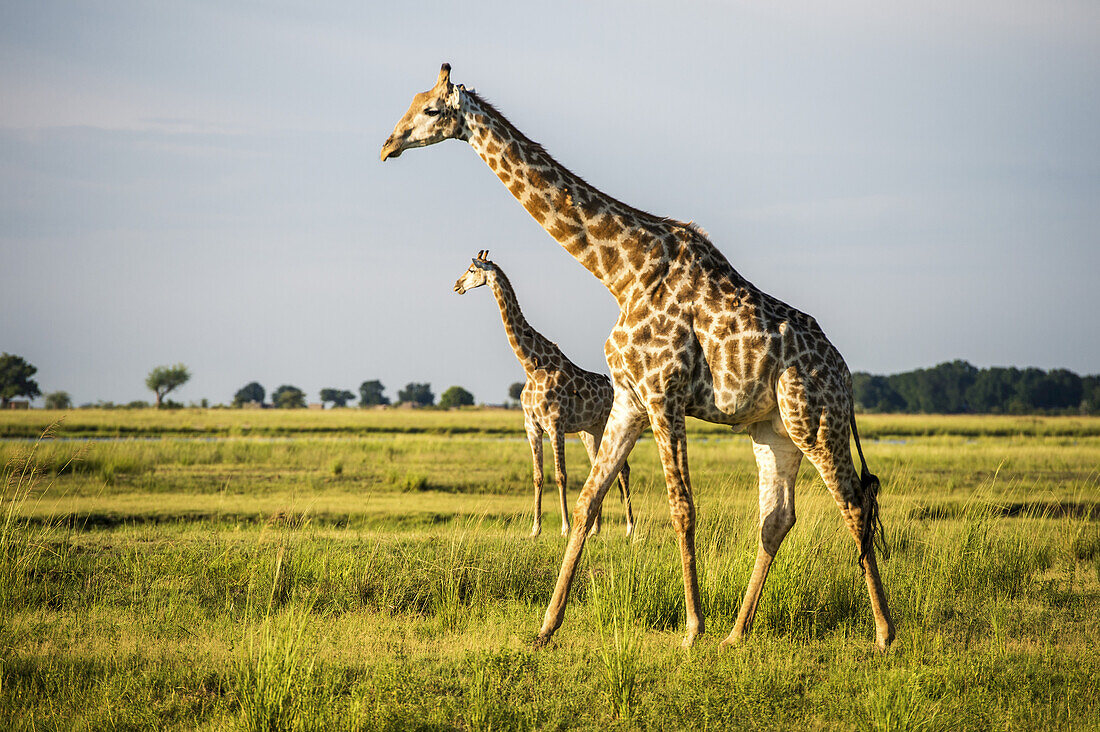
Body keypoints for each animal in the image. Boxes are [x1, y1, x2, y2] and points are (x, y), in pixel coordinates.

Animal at [451, 248, 633, 534]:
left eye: (471, 270)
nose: (456, 285)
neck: (531, 365)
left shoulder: (555, 425)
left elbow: (561, 475)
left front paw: (565, 528)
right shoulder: (532, 426)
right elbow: (538, 476)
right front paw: (535, 529)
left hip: (607, 425)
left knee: (623, 470)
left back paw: (629, 529)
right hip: (589, 431)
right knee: (599, 468)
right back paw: (594, 530)